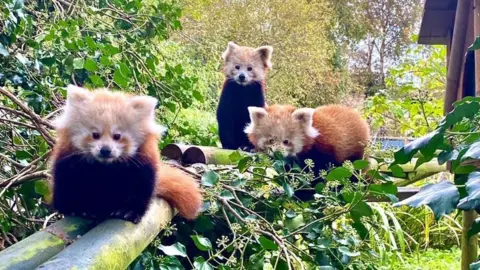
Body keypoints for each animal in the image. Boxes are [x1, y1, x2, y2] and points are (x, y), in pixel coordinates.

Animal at [51, 85, 202, 224]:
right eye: (95, 134)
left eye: (117, 136)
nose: (105, 150)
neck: (105, 167)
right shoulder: (69, 163)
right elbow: (67, 185)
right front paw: (79, 209)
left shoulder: (142, 165)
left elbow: (140, 190)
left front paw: (128, 212)